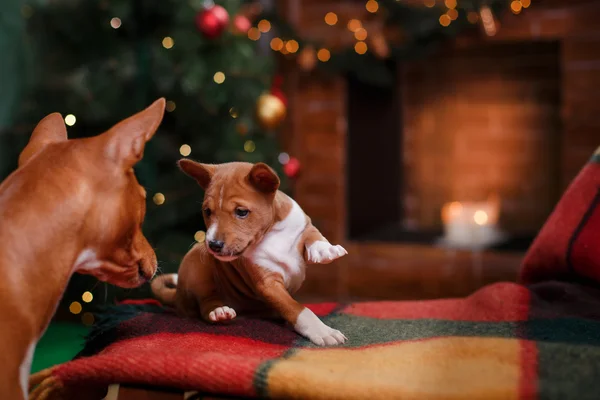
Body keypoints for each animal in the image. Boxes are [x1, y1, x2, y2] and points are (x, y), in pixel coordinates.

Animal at [152, 161, 350, 346]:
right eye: (207, 212)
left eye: (241, 212)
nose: (213, 245)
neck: (271, 232)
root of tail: (177, 294)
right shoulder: (268, 283)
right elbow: (297, 309)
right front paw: (321, 330)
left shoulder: (303, 225)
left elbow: (313, 233)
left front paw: (325, 249)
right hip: (198, 262)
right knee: (205, 303)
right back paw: (219, 311)